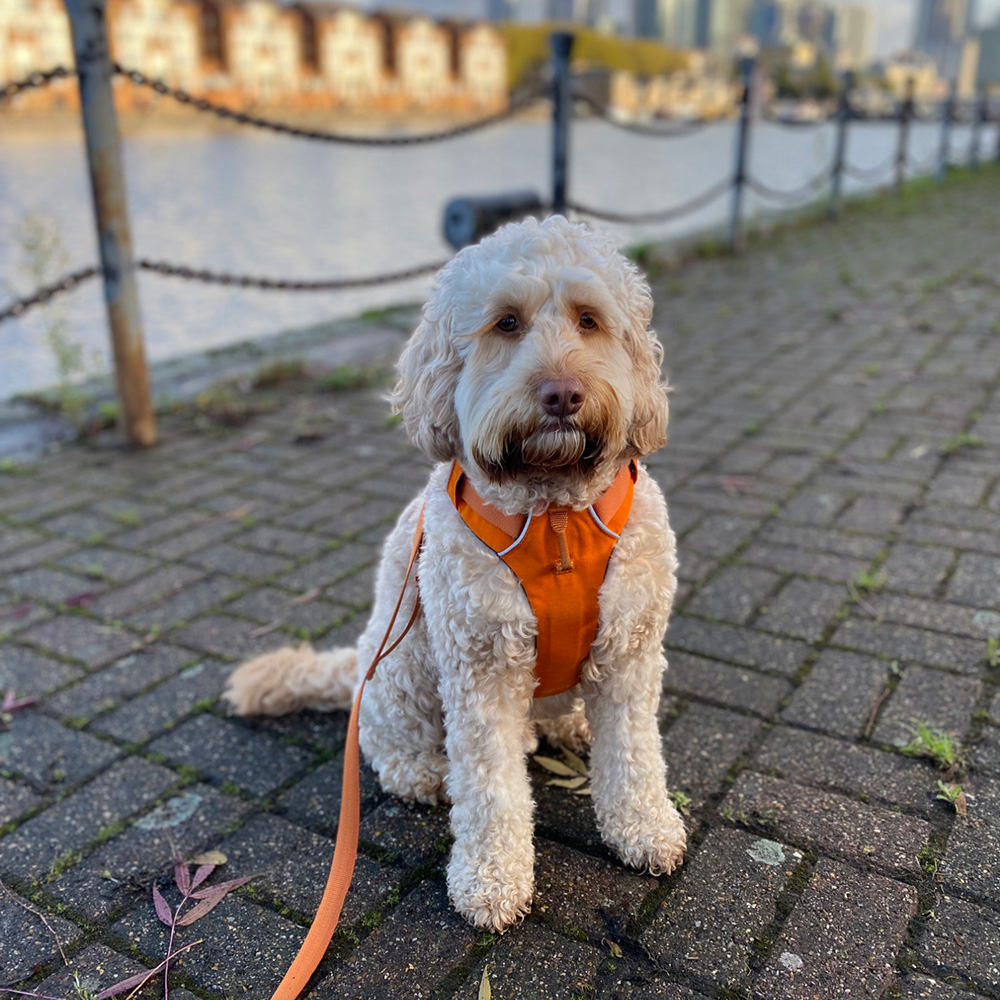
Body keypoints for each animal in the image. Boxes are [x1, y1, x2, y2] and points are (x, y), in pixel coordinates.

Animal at [223, 215, 684, 932]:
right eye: (506, 323)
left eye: (589, 319)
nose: (561, 394)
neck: (553, 516)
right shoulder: (480, 664)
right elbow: (491, 786)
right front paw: (492, 878)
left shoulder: (631, 651)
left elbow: (634, 755)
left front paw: (644, 827)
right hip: (404, 664)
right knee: (391, 746)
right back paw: (423, 773)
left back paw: (567, 724)